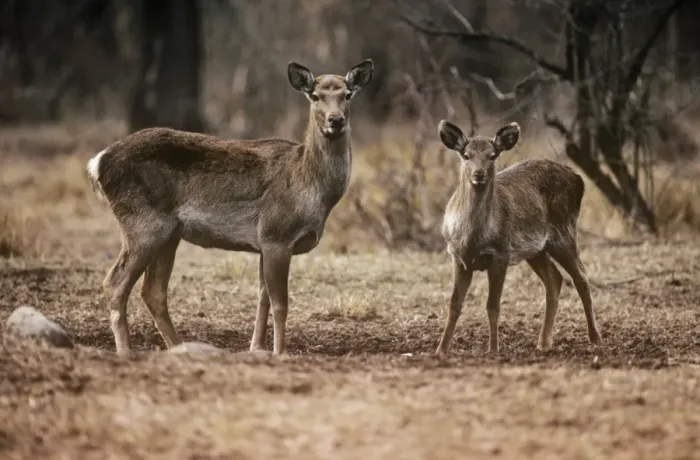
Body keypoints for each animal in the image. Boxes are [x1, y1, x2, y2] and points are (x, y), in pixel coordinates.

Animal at [86, 59, 373, 356]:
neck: (308, 187)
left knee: (152, 291)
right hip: (142, 223)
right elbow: (280, 304)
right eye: (315, 96)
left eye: (348, 95)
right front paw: (279, 352)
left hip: (168, 233)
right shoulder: (276, 234)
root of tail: (98, 163)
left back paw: (179, 347)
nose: (335, 120)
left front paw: (256, 348)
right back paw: (126, 351)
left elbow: (262, 297)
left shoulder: (264, 242)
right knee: (115, 283)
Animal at [434, 120, 603, 356]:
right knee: (555, 279)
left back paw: (595, 338)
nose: (479, 174)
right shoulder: (458, 256)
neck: (473, 239)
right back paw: (543, 343)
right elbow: (454, 305)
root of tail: (579, 179)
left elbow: (493, 306)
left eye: (492, 155)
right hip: (535, 248)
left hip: (564, 231)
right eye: (466, 155)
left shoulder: (501, 254)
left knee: (581, 277)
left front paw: (493, 350)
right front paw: (440, 350)